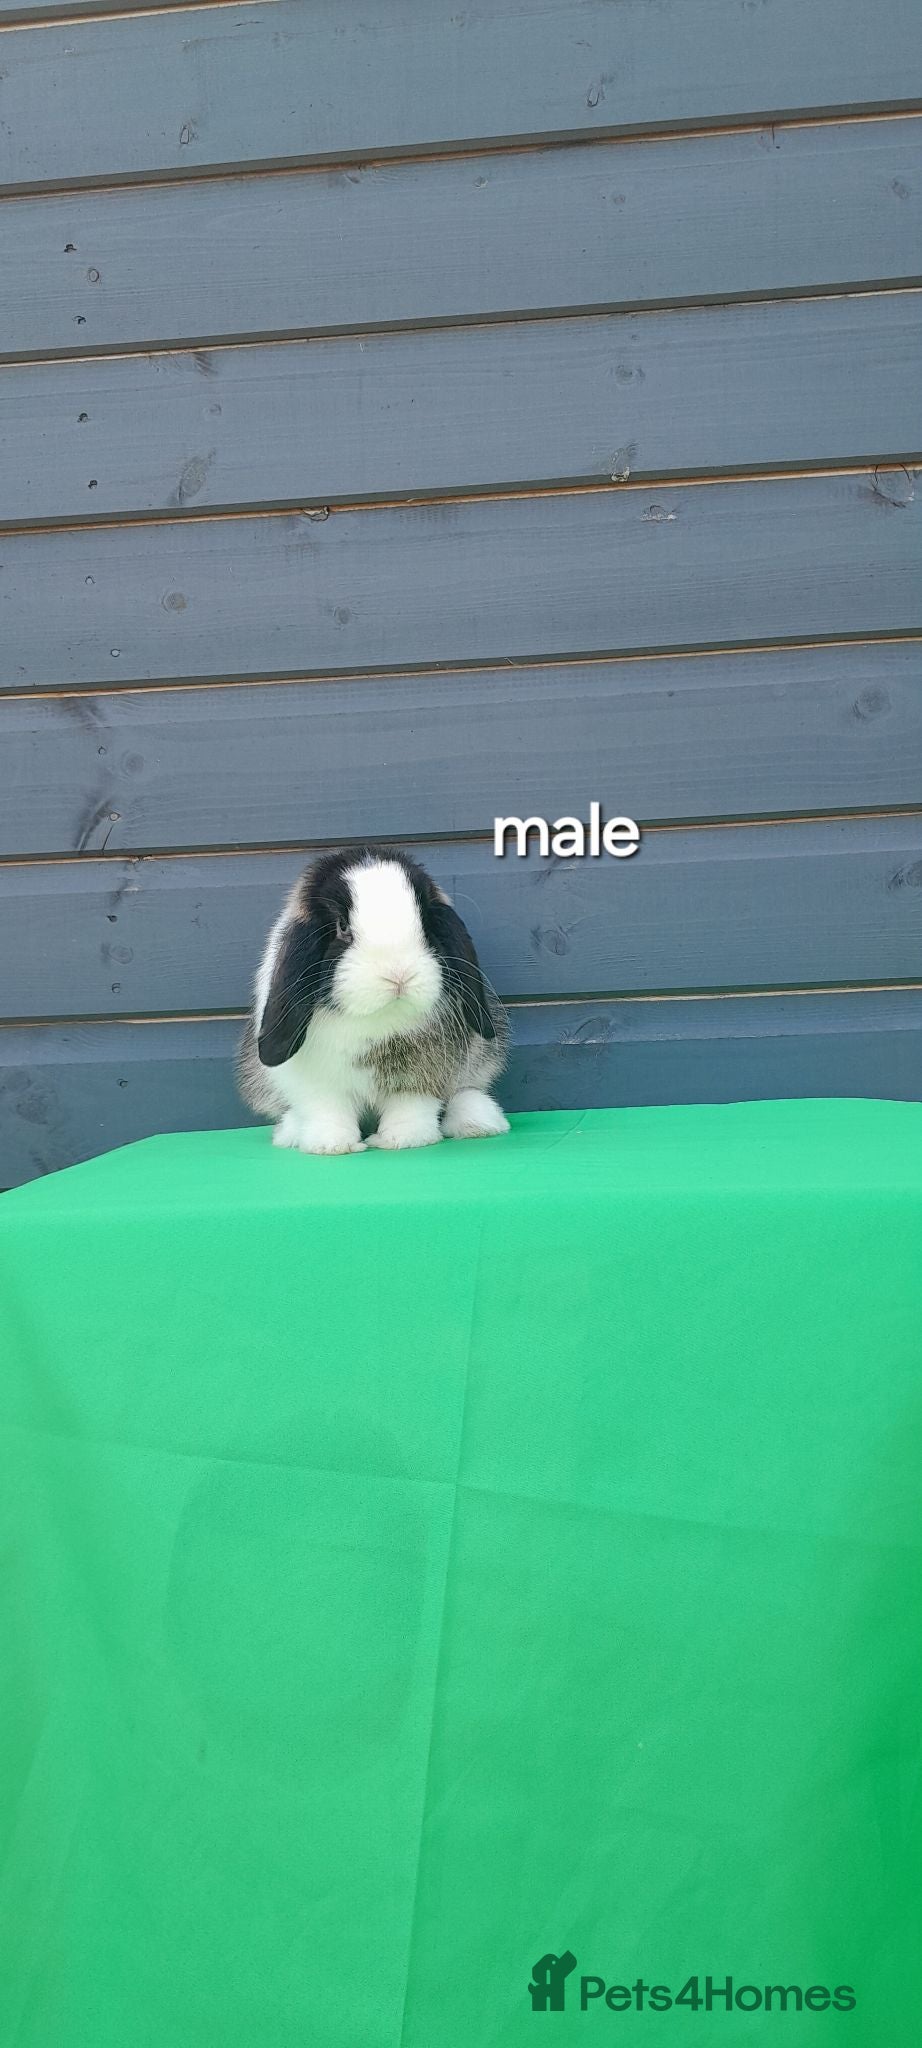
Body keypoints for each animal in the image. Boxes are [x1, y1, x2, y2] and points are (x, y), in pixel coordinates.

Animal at [237, 845, 510, 1154]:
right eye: (342, 927)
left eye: (425, 923)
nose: (399, 975)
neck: (378, 1022)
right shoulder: (319, 1085)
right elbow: (327, 1109)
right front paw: (332, 1146)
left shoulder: (418, 1078)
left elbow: (411, 1106)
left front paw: (402, 1140)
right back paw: (292, 1133)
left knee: (464, 1092)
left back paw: (478, 1123)